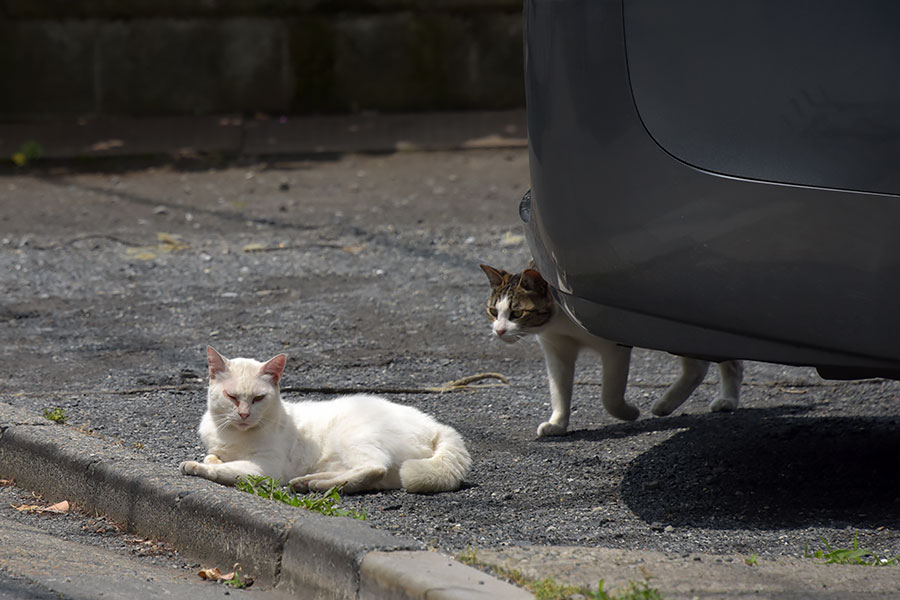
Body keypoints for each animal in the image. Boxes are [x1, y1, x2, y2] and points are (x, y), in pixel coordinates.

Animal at [178, 344, 472, 494]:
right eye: (231, 396)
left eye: (258, 399)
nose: (244, 414)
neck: (230, 434)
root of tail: (434, 424)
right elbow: (215, 457)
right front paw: (212, 459)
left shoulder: (266, 468)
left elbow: (225, 470)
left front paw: (196, 467)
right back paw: (309, 481)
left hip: (352, 436)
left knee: (373, 467)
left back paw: (315, 484)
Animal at [482, 264, 740, 436]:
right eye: (494, 311)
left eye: (516, 313)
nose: (499, 331)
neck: (561, 321)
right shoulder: (556, 348)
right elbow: (559, 389)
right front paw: (557, 423)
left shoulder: (614, 347)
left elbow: (609, 396)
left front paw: (629, 413)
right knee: (703, 365)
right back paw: (679, 403)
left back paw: (720, 399)